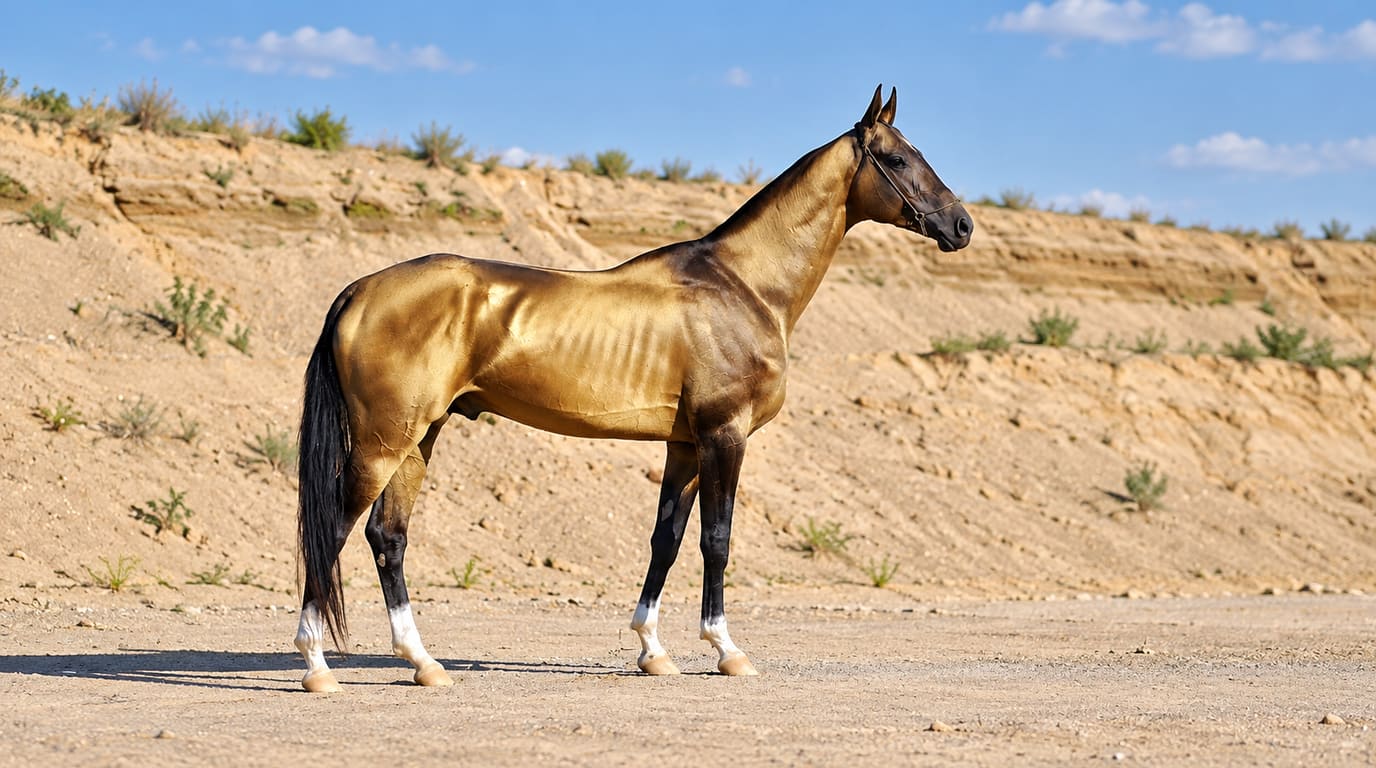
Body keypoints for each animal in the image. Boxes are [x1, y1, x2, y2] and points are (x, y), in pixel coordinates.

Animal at [294, 85, 973, 692]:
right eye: (899, 159)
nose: (962, 225)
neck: (744, 285)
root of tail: (359, 290)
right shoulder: (724, 436)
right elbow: (717, 541)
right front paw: (727, 651)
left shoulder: (686, 446)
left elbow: (665, 542)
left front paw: (653, 651)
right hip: (383, 442)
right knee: (333, 531)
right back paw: (317, 667)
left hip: (418, 438)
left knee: (387, 537)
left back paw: (423, 664)